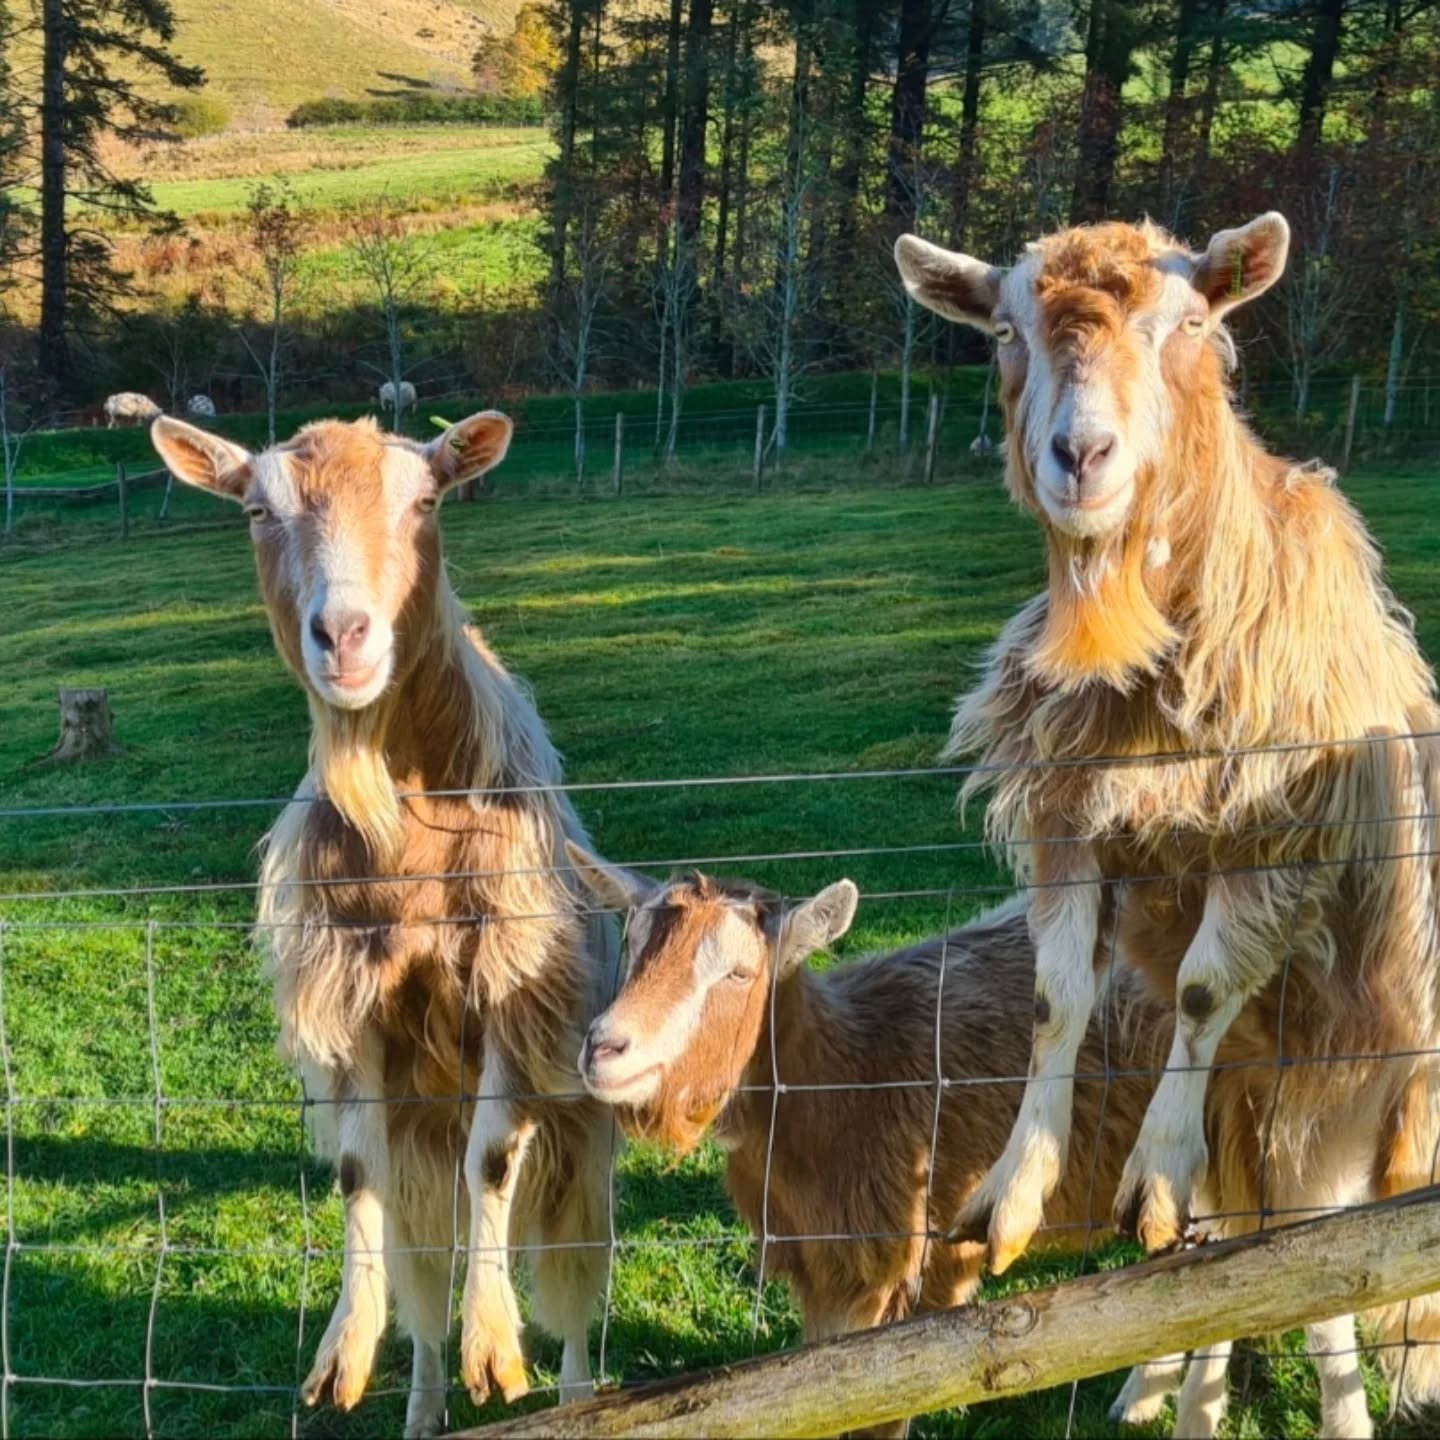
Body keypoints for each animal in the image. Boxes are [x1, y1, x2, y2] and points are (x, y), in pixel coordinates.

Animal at [148, 413, 618, 1437]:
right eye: (255, 509)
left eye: (427, 499)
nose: (345, 634)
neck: (404, 816)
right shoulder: (348, 1004)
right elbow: (355, 1177)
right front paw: (345, 1353)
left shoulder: (509, 988)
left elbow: (494, 1161)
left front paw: (497, 1350)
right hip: (419, 1142)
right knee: (421, 1267)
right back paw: (424, 1405)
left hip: (576, 1137)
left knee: (571, 1274)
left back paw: (572, 1392)